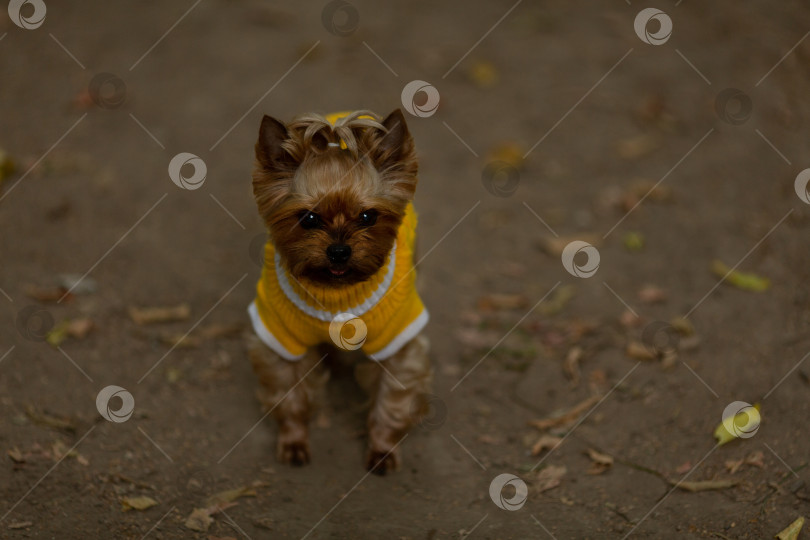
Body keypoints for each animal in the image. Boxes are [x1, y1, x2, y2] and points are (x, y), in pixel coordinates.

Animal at [246, 108, 432, 472]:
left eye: (368, 216)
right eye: (308, 218)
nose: (339, 251)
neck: (336, 292)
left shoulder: (398, 340)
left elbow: (392, 400)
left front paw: (383, 449)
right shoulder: (280, 337)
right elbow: (289, 394)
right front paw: (293, 440)